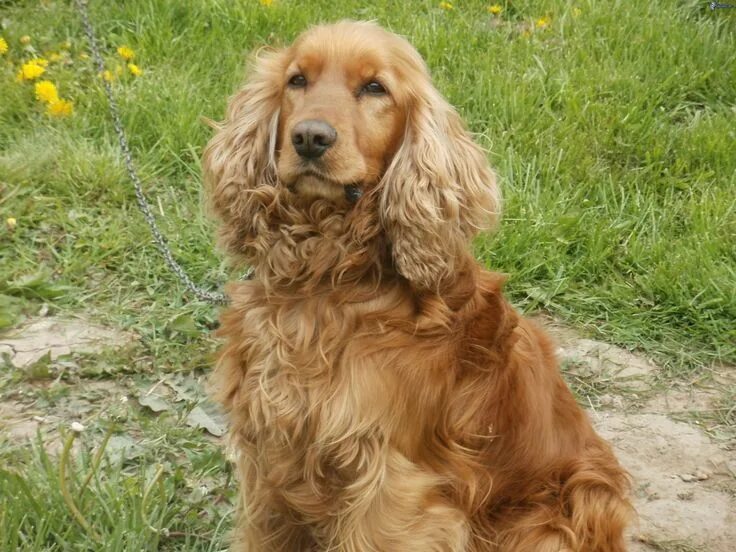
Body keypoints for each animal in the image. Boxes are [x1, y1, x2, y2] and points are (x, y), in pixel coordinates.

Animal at [203, 19, 632, 548]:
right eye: (296, 80)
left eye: (375, 88)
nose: (309, 138)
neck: (326, 279)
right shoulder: (269, 454)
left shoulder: (392, 483)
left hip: (560, 513)